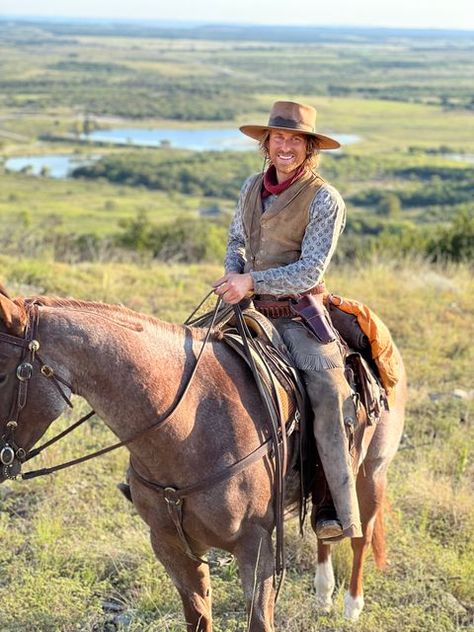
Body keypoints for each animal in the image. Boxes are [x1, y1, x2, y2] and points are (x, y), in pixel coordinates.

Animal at [0, 288, 408, 632]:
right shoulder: (171, 547)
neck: (187, 428)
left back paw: (351, 605)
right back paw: (323, 594)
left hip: (372, 471)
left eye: (3, 374)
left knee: (361, 532)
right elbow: (198, 618)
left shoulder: (255, 548)